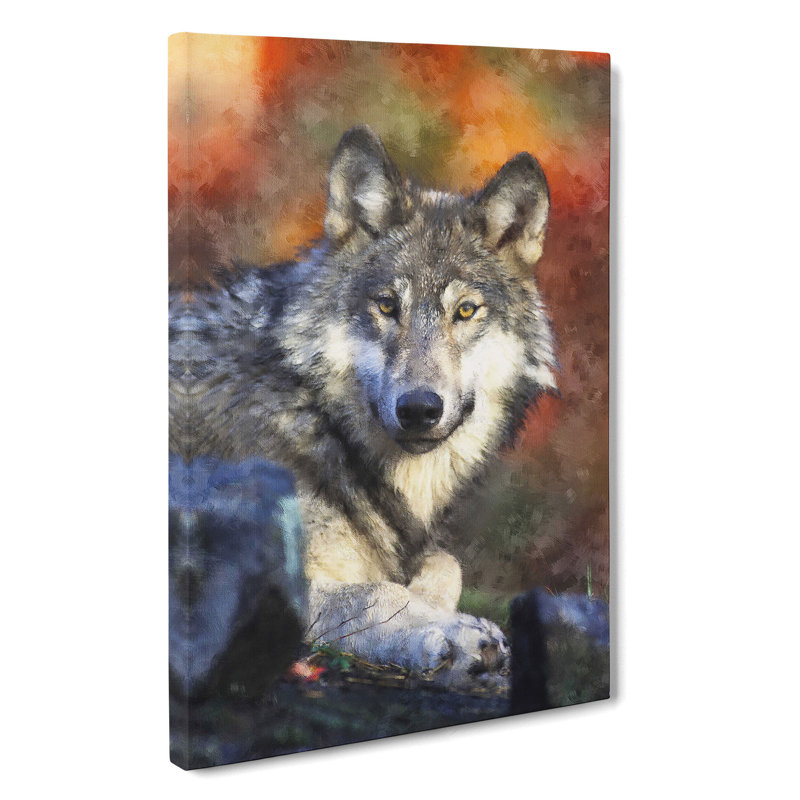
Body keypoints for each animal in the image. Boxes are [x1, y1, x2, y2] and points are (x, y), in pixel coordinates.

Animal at [170, 125, 557, 687]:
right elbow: (376, 592)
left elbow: (444, 563)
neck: (316, 418)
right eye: (387, 305)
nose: (419, 409)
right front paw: (454, 634)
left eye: (465, 311)